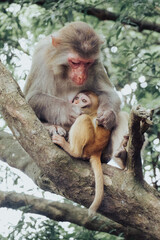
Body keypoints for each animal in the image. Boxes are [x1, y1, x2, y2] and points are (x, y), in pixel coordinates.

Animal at [23, 21, 126, 164]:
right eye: (75, 62)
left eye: (87, 63)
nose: (81, 76)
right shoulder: (41, 55)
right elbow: (32, 98)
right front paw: (69, 111)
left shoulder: (97, 63)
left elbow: (108, 92)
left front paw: (108, 115)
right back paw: (53, 128)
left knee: (121, 116)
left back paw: (120, 154)